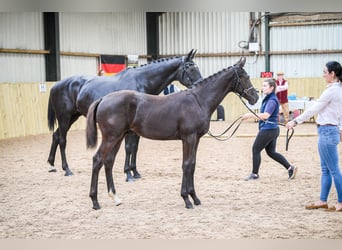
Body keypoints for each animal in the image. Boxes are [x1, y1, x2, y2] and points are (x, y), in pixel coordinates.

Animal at [46, 48, 202, 180]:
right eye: (190, 67)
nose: (200, 83)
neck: (141, 81)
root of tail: (56, 85)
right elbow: (128, 148)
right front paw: (128, 173)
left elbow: (135, 148)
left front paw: (135, 172)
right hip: (64, 118)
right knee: (62, 139)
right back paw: (67, 169)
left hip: (72, 117)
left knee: (56, 135)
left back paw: (52, 164)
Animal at [85, 56, 260, 209]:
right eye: (245, 76)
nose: (255, 97)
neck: (198, 100)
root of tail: (103, 99)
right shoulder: (188, 138)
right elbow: (186, 165)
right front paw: (187, 200)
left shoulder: (195, 139)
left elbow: (192, 165)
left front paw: (195, 198)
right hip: (111, 137)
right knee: (97, 160)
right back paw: (95, 202)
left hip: (118, 137)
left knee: (108, 161)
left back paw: (115, 197)